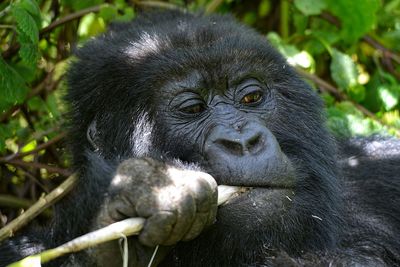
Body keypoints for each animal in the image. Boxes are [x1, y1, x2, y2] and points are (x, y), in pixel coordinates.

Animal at [0, 10, 400, 267]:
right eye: (192, 108)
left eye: (251, 97)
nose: (243, 142)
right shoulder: (23, 251)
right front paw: (137, 198)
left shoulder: (379, 164)